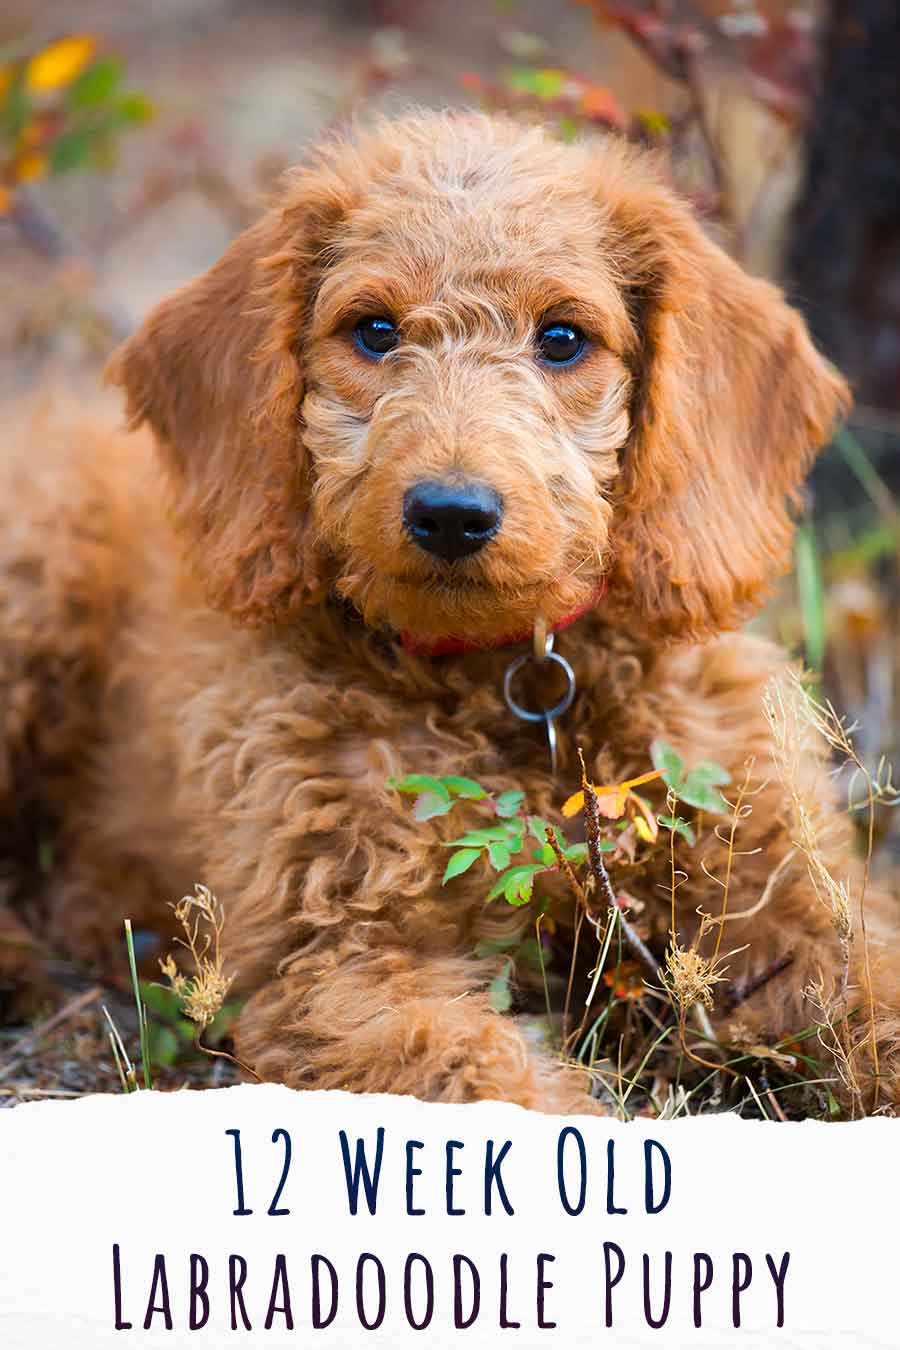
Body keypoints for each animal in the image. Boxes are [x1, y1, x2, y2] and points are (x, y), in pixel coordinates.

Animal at [1, 113, 900, 1107]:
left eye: (562, 338)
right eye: (374, 330)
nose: (451, 513)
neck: (508, 678)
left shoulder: (786, 890)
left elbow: (869, 983)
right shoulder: (338, 962)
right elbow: (488, 1078)